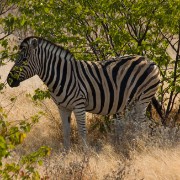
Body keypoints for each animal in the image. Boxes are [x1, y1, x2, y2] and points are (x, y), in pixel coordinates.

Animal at [6, 36, 160, 149]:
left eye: (24, 59)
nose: (9, 80)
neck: (61, 75)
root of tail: (150, 60)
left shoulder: (79, 105)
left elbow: (82, 130)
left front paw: (85, 154)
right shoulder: (62, 107)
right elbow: (66, 131)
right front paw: (65, 154)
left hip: (143, 99)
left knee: (142, 124)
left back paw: (139, 146)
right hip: (134, 102)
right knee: (143, 124)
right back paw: (135, 144)